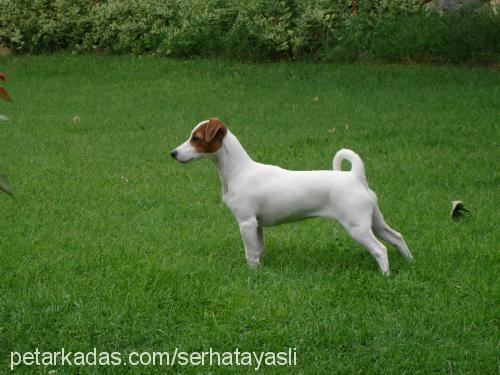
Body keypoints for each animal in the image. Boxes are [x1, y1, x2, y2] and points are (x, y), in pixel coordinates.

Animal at [172, 119, 414, 274]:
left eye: (196, 138)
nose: (172, 153)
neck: (238, 171)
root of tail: (356, 176)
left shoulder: (246, 223)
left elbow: (250, 252)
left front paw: (251, 274)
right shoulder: (257, 225)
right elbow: (258, 250)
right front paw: (259, 270)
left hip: (358, 227)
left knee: (381, 249)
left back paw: (385, 275)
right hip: (375, 222)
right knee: (397, 237)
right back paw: (410, 262)